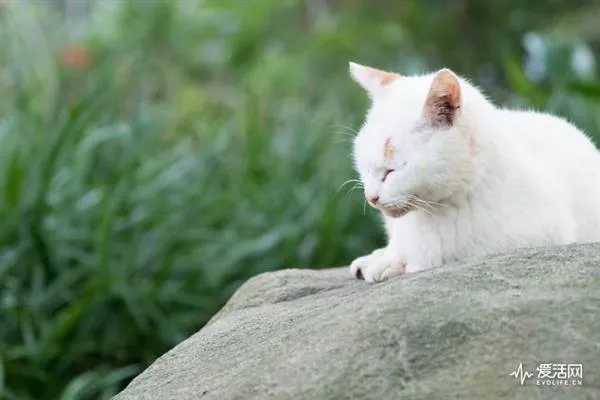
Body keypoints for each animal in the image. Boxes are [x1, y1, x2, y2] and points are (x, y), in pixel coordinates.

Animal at [346, 61, 600, 284]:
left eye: (391, 170)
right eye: (365, 165)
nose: (371, 197)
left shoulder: (541, 234)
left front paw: (405, 263)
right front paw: (386, 260)